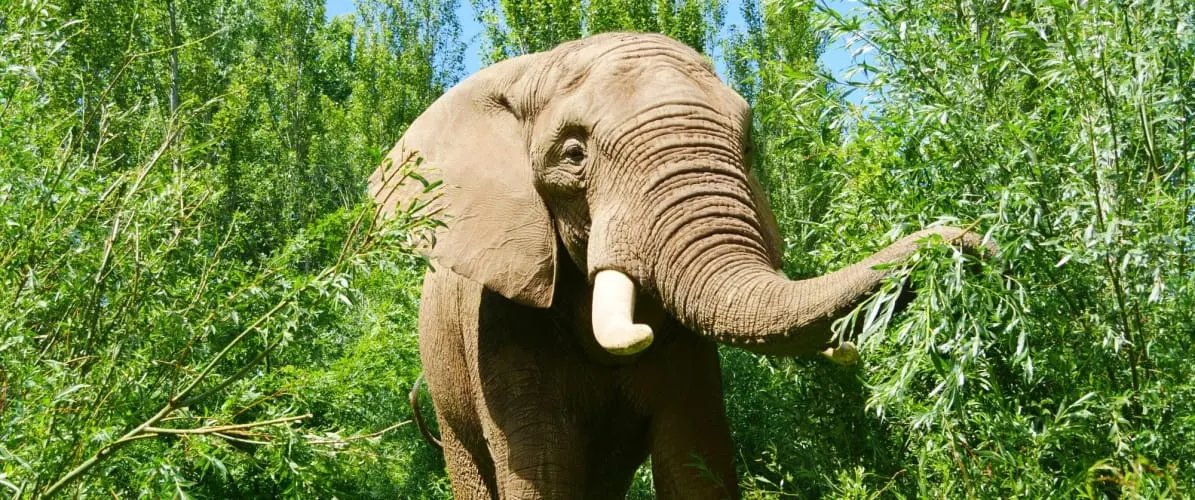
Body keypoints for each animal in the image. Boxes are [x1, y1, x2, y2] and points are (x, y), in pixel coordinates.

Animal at [368, 32, 991, 499]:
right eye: (573, 155)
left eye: (747, 146)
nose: (963, 240)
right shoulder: (499, 316)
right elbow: (542, 467)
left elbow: (694, 456)